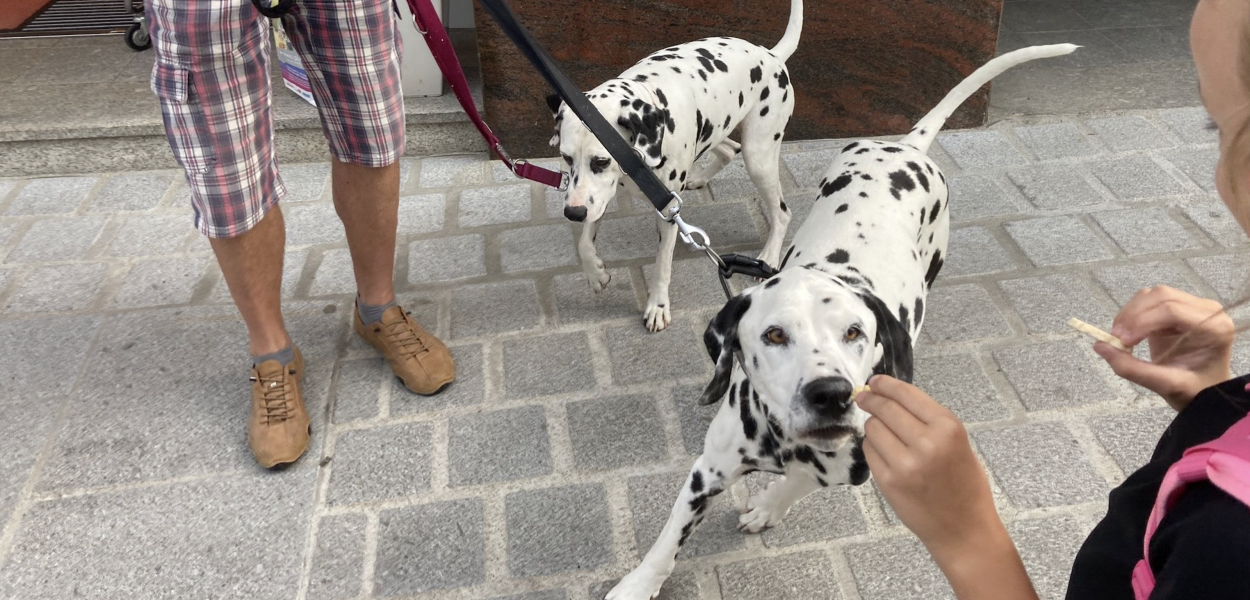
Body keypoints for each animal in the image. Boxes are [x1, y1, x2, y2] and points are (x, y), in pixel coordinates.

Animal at [550, 0, 805, 332]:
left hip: (759, 156)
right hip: (715, 130)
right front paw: (595, 272)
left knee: (782, 212)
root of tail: (771, 55)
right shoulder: (597, 196)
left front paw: (658, 306)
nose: (572, 214)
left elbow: (662, 265)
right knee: (728, 150)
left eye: (602, 160)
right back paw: (699, 178)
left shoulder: (667, 213)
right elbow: (584, 241)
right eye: (566, 158)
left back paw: (770, 255)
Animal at [602, 45, 1075, 600]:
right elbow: (668, 540)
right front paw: (638, 584)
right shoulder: (707, 471)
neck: (783, 440)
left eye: (855, 333)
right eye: (774, 334)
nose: (830, 394)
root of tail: (906, 147)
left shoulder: (854, 461)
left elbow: (801, 480)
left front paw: (769, 505)